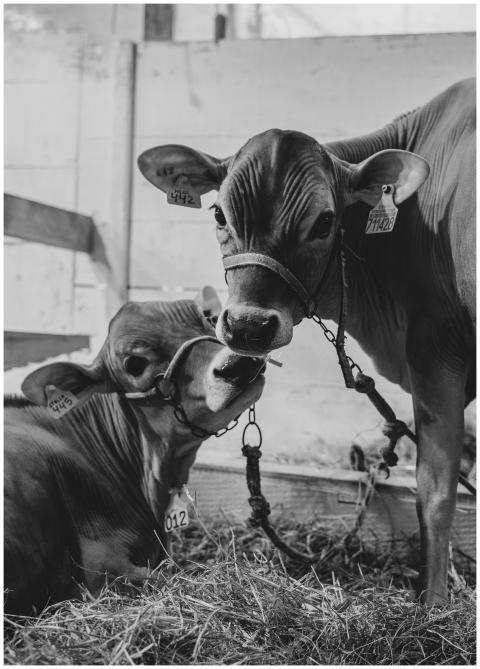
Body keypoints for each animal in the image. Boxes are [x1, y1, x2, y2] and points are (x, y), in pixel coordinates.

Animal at [137, 78, 475, 605]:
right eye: (219, 213)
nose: (248, 326)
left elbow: (436, 491)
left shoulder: (435, 347)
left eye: (324, 222)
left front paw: (434, 604)